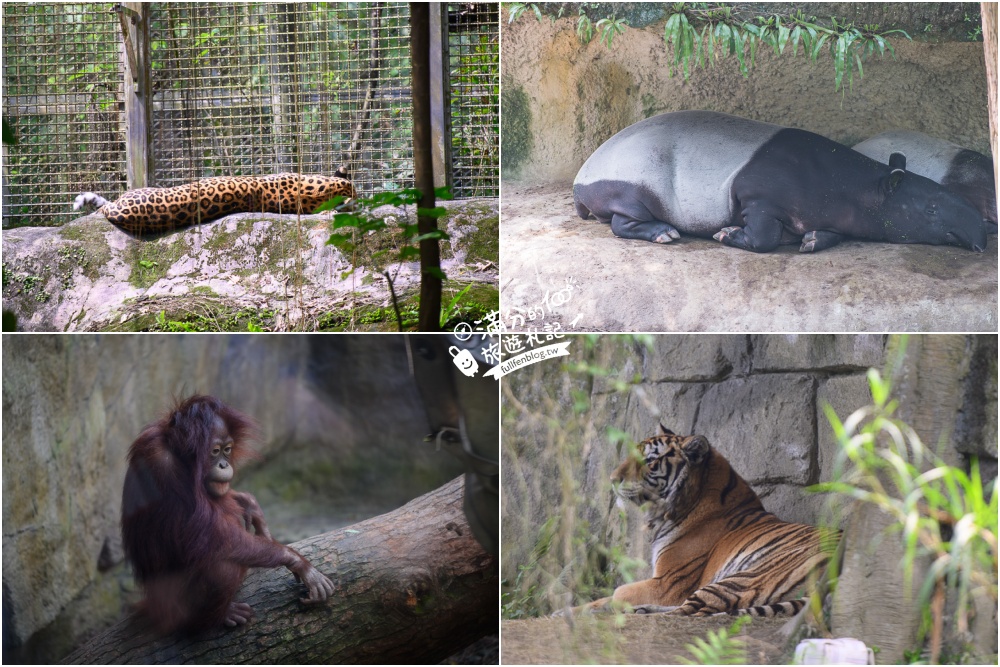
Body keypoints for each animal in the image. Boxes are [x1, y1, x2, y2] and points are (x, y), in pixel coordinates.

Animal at [568, 426, 840, 620]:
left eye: (649, 461)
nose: (612, 479)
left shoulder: (667, 583)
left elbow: (618, 592)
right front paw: (569, 610)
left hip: (747, 576)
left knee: (691, 611)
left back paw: (639, 611)